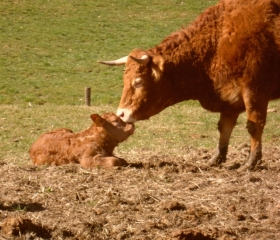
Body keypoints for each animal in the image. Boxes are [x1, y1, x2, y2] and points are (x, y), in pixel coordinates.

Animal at [99, 0, 280, 172]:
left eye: (138, 81)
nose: (121, 114)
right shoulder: (229, 98)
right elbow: (224, 127)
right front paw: (216, 159)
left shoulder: (254, 91)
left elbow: (254, 125)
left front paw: (251, 162)